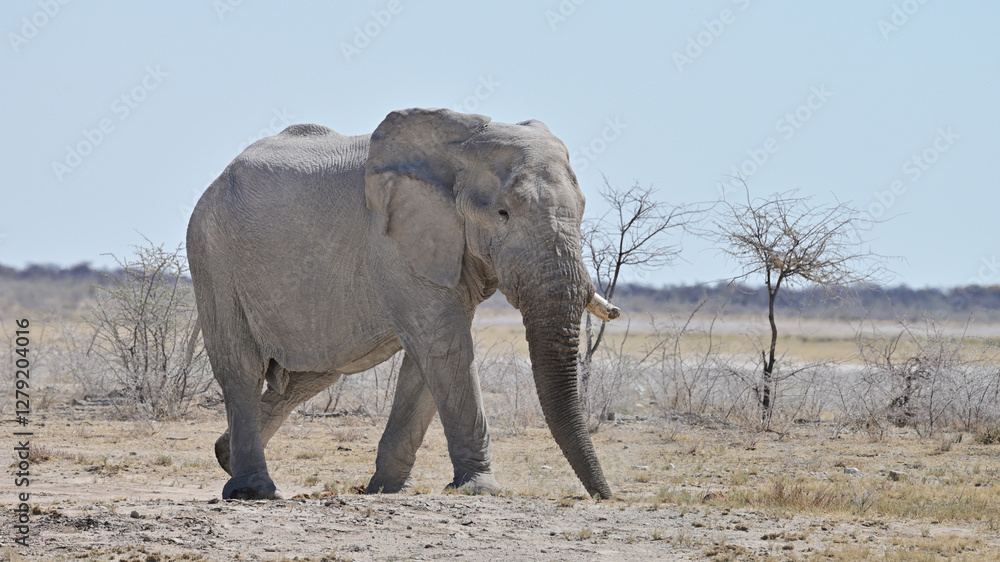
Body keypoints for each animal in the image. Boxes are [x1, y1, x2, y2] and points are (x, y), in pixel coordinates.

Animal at [186, 108, 620, 501]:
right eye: (503, 213)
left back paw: (225, 457)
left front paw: (388, 488)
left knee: (311, 374)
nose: (605, 496)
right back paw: (252, 491)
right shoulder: (395, 244)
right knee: (242, 368)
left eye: (582, 209)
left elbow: (430, 358)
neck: (459, 148)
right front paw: (480, 489)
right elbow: (444, 347)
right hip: (212, 253)